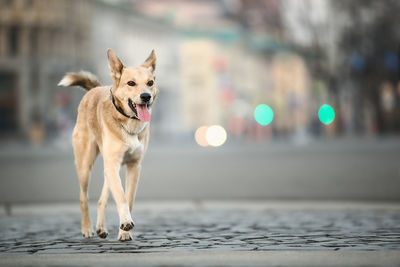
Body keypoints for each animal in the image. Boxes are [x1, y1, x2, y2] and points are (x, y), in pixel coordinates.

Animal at [57, 49, 158, 242]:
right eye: (131, 83)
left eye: (150, 83)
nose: (146, 97)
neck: (129, 123)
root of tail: (94, 89)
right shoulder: (113, 164)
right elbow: (121, 197)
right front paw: (126, 222)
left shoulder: (134, 166)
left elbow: (128, 198)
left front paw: (124, 232)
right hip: (85, 165)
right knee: (83, 197)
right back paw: (87, 229)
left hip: (109, 168)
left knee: (101, 198)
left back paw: (101, 228)